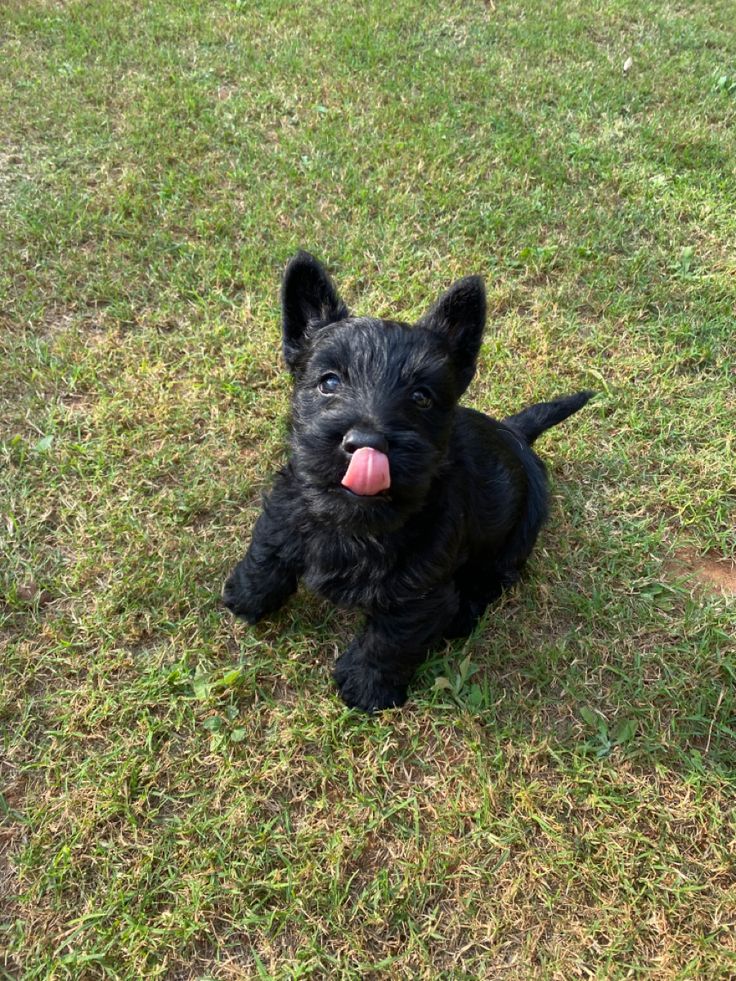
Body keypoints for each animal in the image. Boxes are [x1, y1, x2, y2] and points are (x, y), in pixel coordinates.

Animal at [223, 253, 592, 712]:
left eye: (421, 397)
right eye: (329, 381)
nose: (366, 443)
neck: (355, 522)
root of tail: (516, 432)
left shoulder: (418, 594)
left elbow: (390, 640)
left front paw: (366, 687)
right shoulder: (286, 507)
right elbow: (267, 551)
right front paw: (245, 596)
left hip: (516, 540)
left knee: (492, 579)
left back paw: (463, 614)